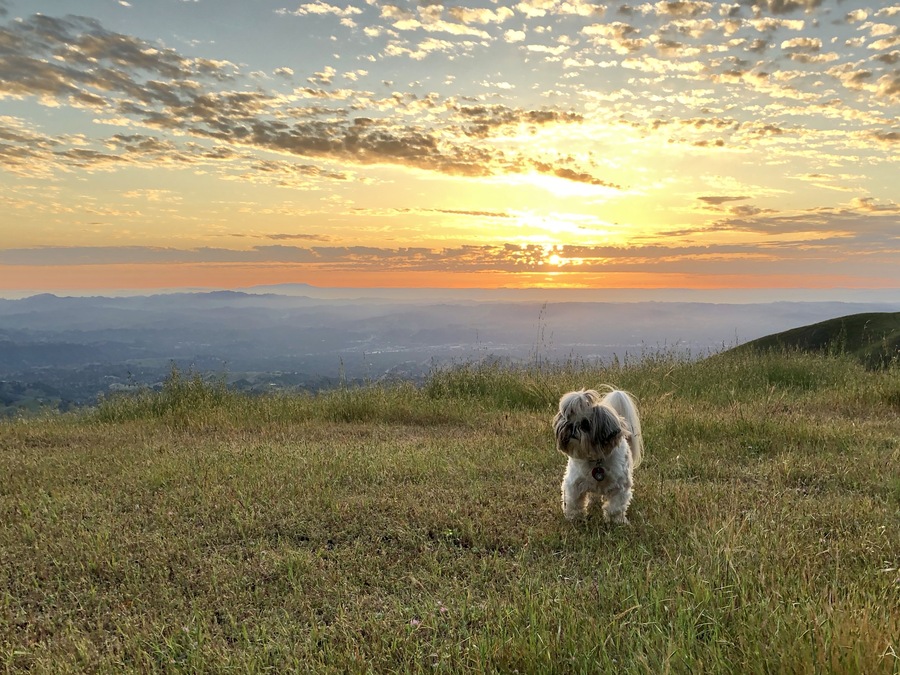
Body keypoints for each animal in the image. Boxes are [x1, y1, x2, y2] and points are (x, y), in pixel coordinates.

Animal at [552, 388, 644, 524]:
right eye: (567, 421)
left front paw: (616, 521)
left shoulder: (620, 487)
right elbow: (573, 503)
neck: (596, 459)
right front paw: (574, 519)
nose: (571, 427)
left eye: (585, 424)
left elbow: (615, 507)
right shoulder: (573, 484)